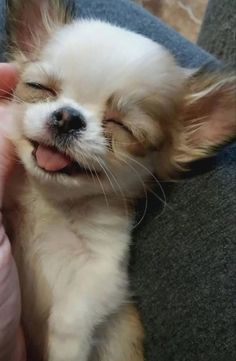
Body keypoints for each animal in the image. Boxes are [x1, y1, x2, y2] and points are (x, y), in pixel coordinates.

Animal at [2, 0, 235, 360]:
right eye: (40, 88)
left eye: (121, 126)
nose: (68, 117)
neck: (53, 202)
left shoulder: (104, 272)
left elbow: (73, 317)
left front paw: (65, 351)